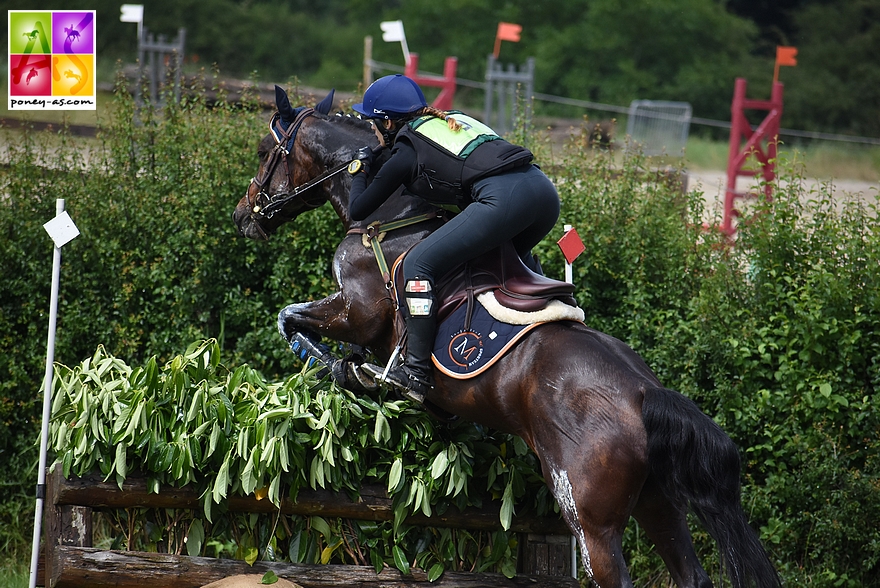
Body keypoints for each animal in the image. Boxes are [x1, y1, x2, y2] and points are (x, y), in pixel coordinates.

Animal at [230, 86, 780, 588]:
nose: (241, 215)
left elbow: (291, 318)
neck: (390, 215)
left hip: (589, 516)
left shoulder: (356, 309)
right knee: (691, 574)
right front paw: (353, 367)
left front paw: (348, 369)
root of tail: (645, 393)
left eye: (263, 151)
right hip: (658, 502)